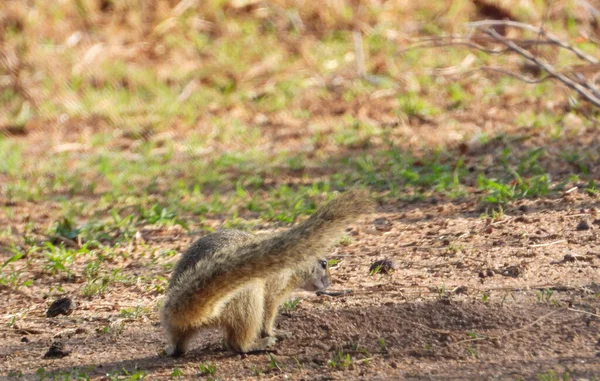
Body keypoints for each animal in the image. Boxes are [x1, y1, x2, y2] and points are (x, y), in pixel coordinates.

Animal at [161, 190, 376, 356]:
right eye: (324, 264)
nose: (328, 283)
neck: (292, 266)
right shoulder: (274, 290)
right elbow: (268, 314)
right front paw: (274, 333)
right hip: (248, 298)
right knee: (237, 343)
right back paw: (256, 345)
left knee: (180, 345)